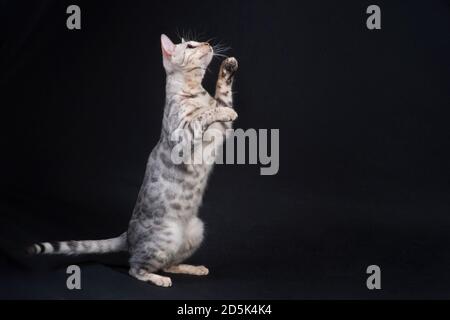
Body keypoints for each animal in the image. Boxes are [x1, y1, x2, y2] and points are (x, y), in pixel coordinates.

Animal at [28, 34, 239, 288]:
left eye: (199, 42)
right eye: (190, 45)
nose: (208, 44)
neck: (196, 91)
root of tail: (127, 235)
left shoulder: (221, 130)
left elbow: (223, 99)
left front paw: (228, 67)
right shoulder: (183, 136)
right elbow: (205, 114)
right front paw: (217, 109)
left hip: (196, 229)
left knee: (167, 263)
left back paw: (193, 268)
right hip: (166, 236)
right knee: (136, 268)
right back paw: (159, 279)